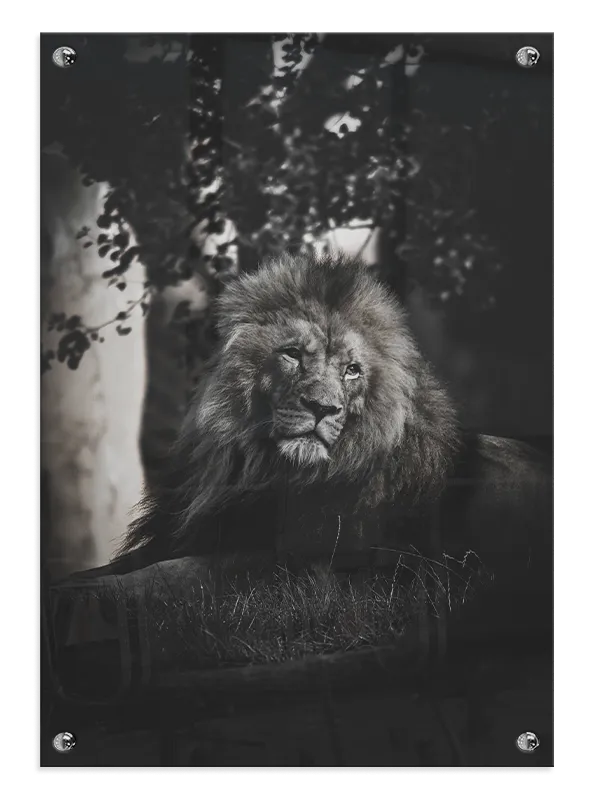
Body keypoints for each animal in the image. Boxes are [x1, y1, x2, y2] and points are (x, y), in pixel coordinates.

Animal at [110, 252, 552, 634]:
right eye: (291, 354)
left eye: (352, 370)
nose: (322, 408)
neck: (264, 469)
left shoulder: (311, 570)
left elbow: (176, 575)